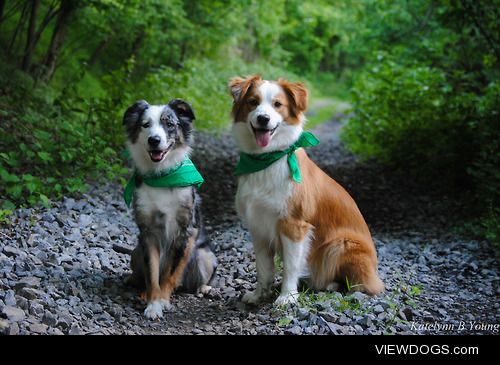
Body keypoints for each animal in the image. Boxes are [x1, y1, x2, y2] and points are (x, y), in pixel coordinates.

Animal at [229, 74, 384, 304]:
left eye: (277, 104)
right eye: (253, 102)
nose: (263, 118)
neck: (266, 160)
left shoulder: (294, 224)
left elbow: (291, 266)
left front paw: (287, 296)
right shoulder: (258, 226)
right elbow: (263, 267)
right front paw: (259, 294)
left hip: (339, 245)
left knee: (363, 284)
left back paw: (330, 285)